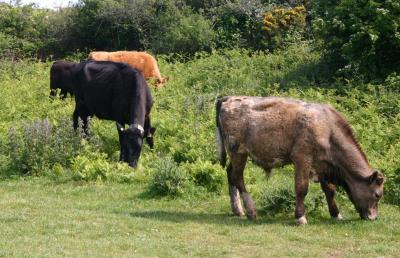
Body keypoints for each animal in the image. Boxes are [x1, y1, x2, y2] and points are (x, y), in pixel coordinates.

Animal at [216, 95, 384, 225]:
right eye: (377, 195)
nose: (374, 217)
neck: (327, 129)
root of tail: (228, 98)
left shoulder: (322, 164)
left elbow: (329, 190)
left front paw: (336, 214)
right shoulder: (302, 159)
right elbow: (302, 188)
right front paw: (300, 217)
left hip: (236, 155)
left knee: (230, 174)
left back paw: (238, 210)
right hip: (238, 152)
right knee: (238, 178)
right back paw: (251, 210)